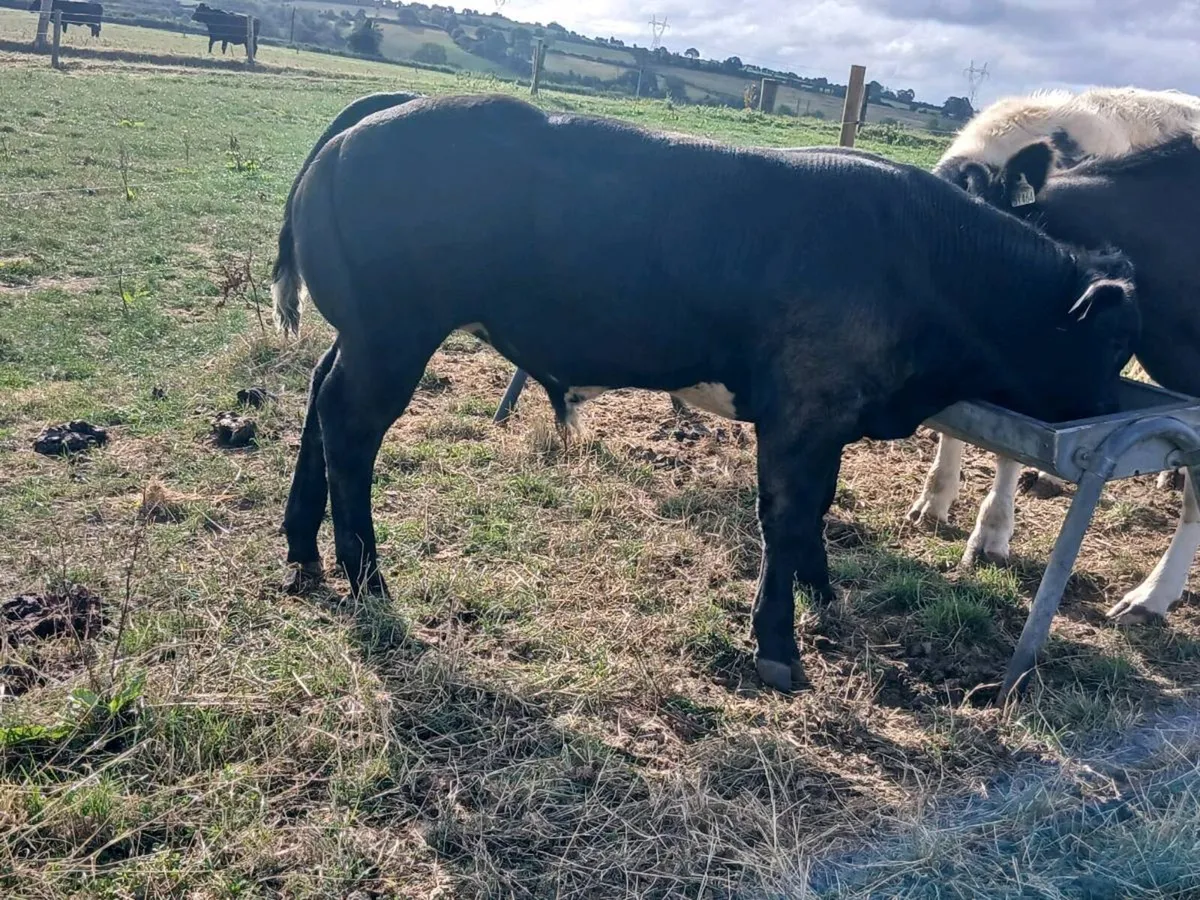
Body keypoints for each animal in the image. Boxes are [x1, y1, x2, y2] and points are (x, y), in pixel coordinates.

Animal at [270, 93, 1139, 693]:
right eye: (1115, 342)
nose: (1113, 410)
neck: (927, 257)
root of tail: (378, 115)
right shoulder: (804, 412)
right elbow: (786, 517)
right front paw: (779, 646)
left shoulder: (826, 419)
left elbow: (813, 514)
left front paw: (822, 591)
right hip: (393, 339)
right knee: (349, 429)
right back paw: (366, 577)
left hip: (364, 337)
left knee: (318, 398)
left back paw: (303, 550)